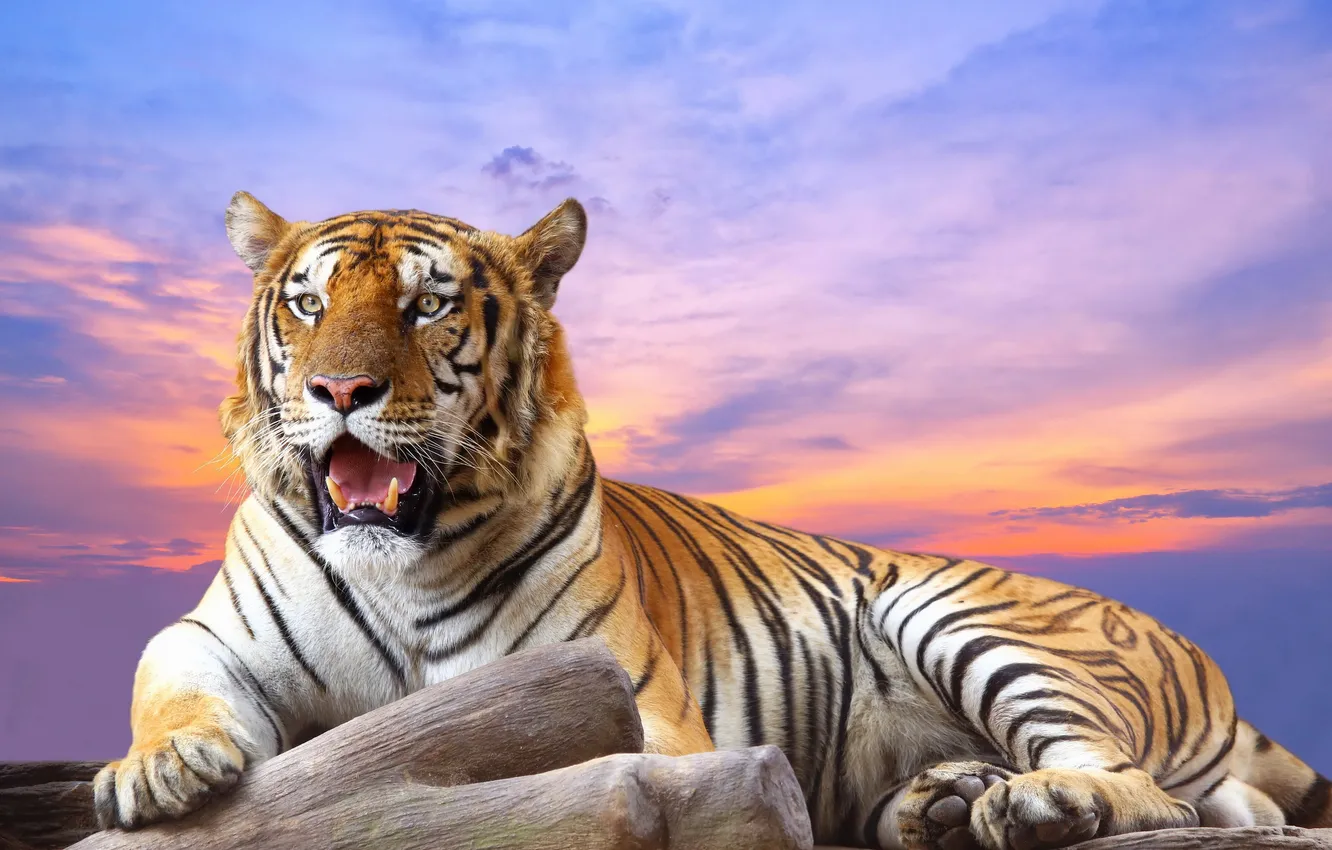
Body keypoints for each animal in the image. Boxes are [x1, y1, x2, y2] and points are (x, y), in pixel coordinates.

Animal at [93, 192, 1331, 849]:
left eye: (427, 303)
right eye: (308, 303)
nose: (338, 390)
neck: (398, 559)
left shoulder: (625, 702)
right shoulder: (216, 631)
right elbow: (168, 677)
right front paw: (159, 771)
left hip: (959, 610)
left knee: (1154, 788)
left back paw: (1034, 800)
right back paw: (942, 803)